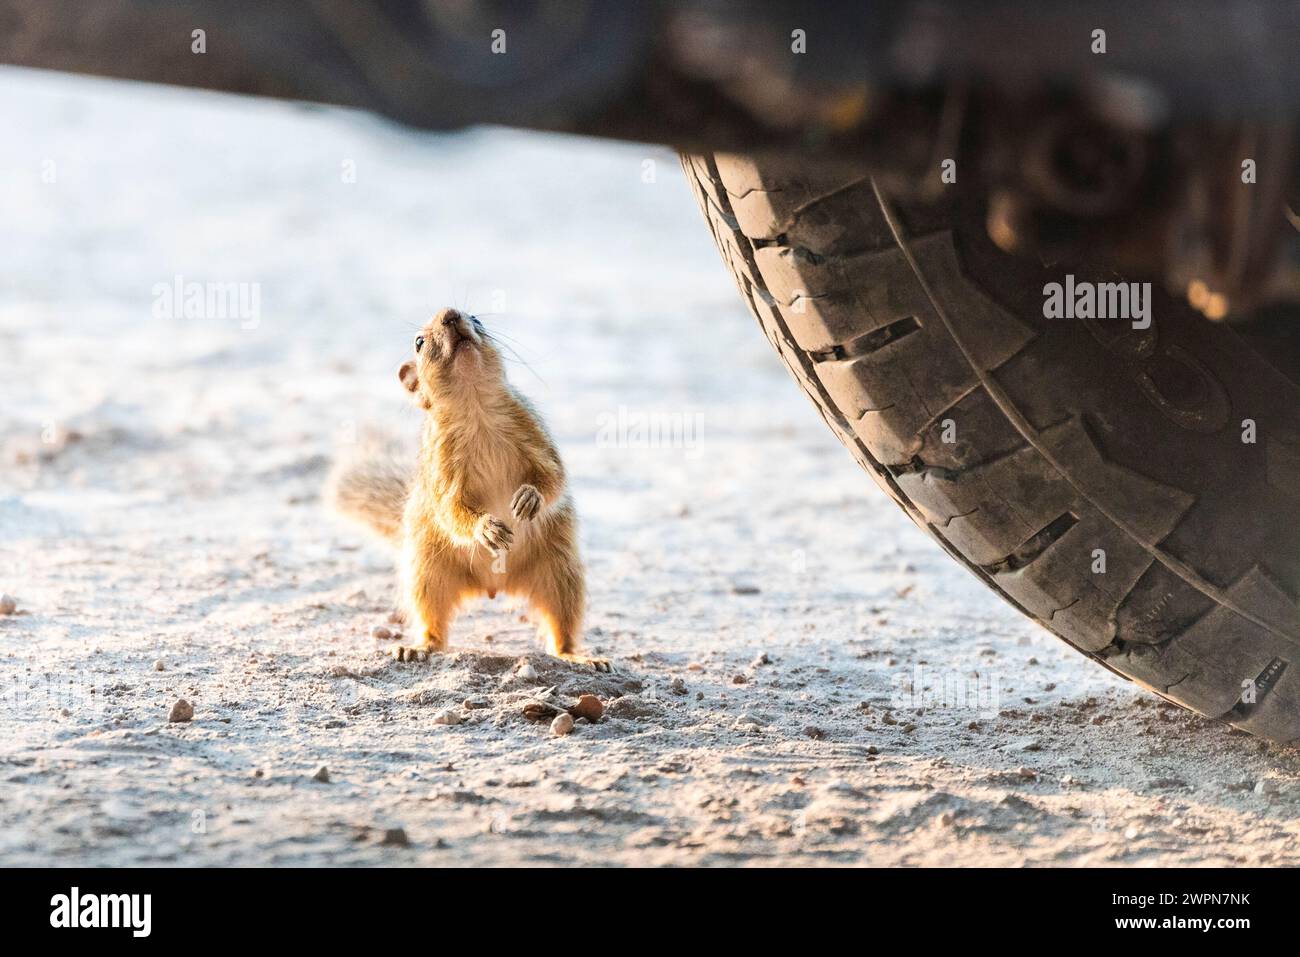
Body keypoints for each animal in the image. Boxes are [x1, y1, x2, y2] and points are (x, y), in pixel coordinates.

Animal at [330, 310, 603, 670]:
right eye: (419, 342)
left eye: (476, 318)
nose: (450, 314)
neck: (475, 408)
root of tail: (494, 585)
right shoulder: (442, 467)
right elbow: (450, 509)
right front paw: (486, 528)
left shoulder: (534, 433)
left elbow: (554, 476)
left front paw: (530, 497)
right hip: (427, 575)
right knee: (433, 624)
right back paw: (418, 647)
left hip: (561, 575)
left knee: (562, 627)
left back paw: (578, 655)